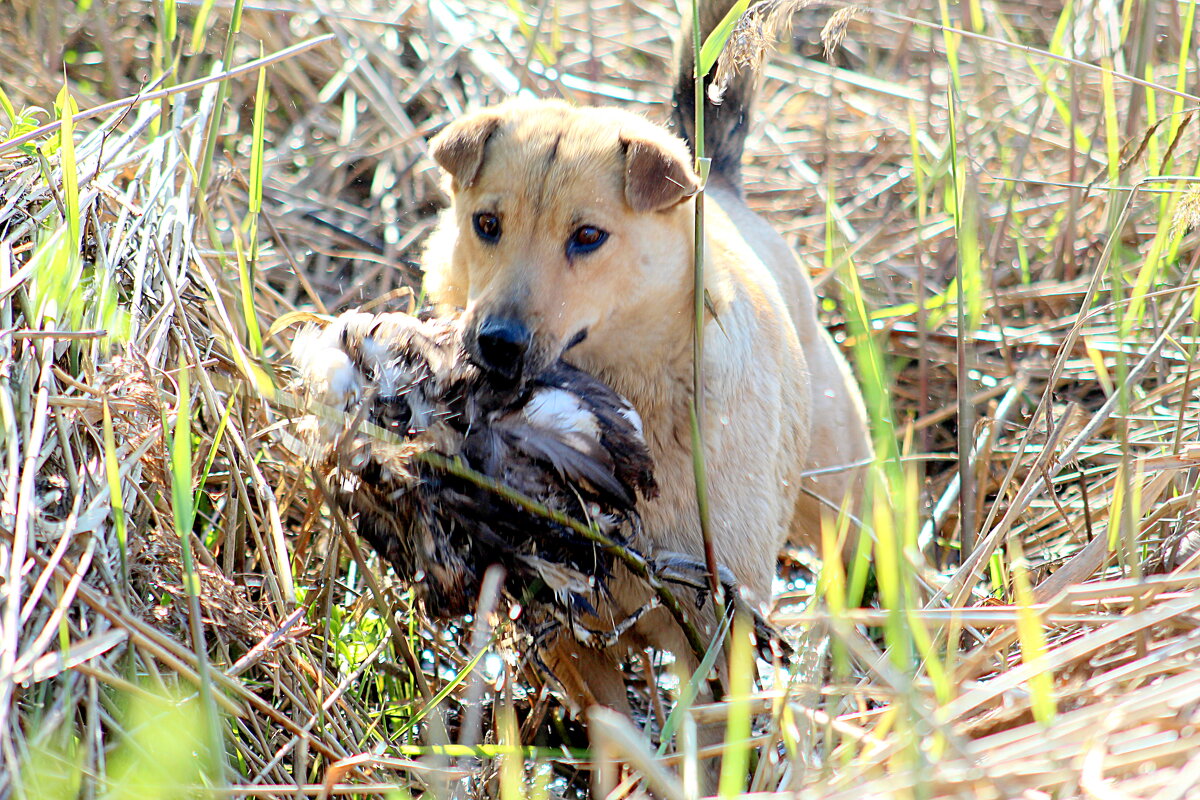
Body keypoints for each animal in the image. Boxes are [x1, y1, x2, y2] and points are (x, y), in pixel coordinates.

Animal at [417, 0, 868, 714]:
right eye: (487, 225)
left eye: (588, 236)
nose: (496, 342)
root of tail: (725, 191)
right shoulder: (565, 626)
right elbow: (614, 728)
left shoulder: (715, 625)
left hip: (842, 500)